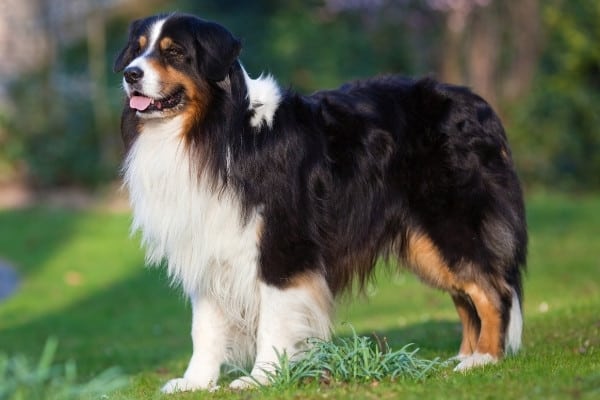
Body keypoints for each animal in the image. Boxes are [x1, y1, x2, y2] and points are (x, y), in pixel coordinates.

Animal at [115, 13, 528, 394]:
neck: (213, 134)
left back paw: (484, 359)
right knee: (467, 294)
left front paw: (262, 377)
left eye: (174, 52)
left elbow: (273, 319)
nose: (131, 75)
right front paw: (195, 382)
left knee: (494, 291)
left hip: (451, 223)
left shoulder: (282, 245)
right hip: (425, 243)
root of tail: (480, 107)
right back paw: (464, 358)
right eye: (137, 50)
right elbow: (205, 326)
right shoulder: (209, 243)